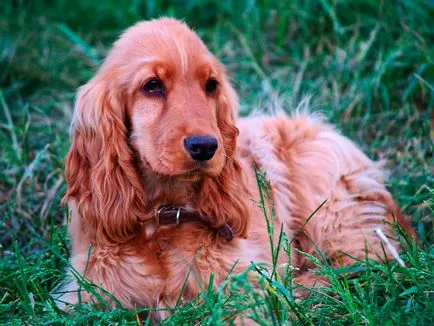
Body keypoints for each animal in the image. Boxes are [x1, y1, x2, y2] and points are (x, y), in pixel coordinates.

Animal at [58, 17, 414, 318]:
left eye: (211, 85)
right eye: (152, 85)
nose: (205, 146)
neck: (162, 216)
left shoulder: (239, 282)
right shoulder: (88, 293)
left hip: (329, 207)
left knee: (370, 261)